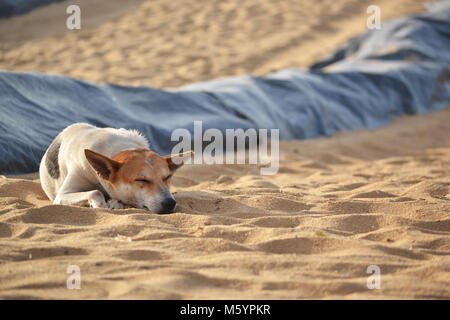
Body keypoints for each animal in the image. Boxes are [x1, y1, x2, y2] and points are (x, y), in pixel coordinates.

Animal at [39, 123, 192, 215]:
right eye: (141, 180)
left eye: (167, 177)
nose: (170, 203)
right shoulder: (62, 195)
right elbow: (95, 192)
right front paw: (100, 204)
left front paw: (113, 202)